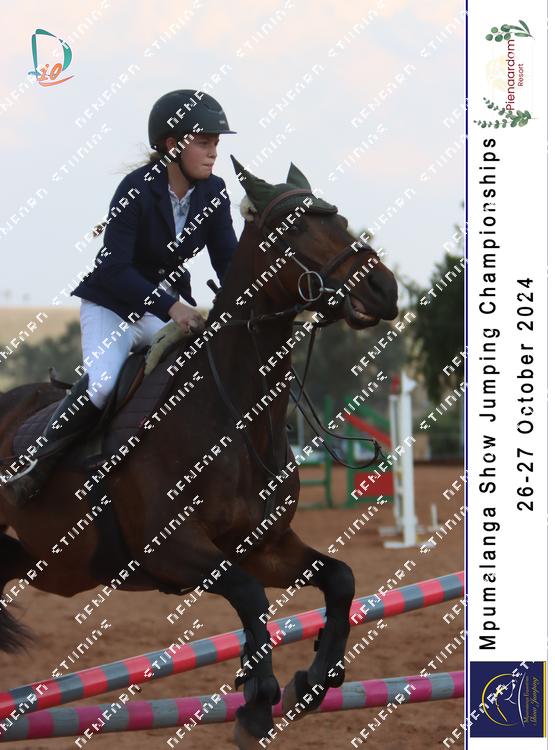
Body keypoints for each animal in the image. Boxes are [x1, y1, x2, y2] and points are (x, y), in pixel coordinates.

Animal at [0, 158, 398, 749]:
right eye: (294, 230)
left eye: (341, 220)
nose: (384, 289)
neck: (231, 413)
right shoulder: (172, 550)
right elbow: (250, 596)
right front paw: (256, 703)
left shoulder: (265, 546)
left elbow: (340, 578)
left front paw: (311, 682)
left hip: (49, 565)